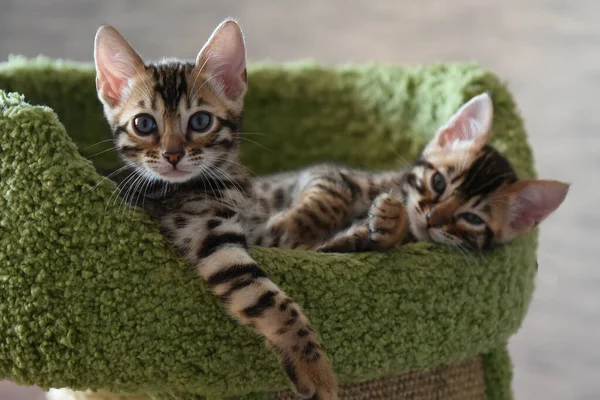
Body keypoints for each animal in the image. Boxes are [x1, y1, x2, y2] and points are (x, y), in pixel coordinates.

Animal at [94, 19, 338, 400]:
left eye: (200, 121)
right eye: (144, 124)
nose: (173, 155)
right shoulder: (207, 235)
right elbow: (271, 300)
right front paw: (315, 367)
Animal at [251, 92, 568, 252]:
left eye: (472, 219)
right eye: (438, 182)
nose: (431, 219)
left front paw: (391, 223)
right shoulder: (324, 173)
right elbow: (331, 196)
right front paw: (295, 225)